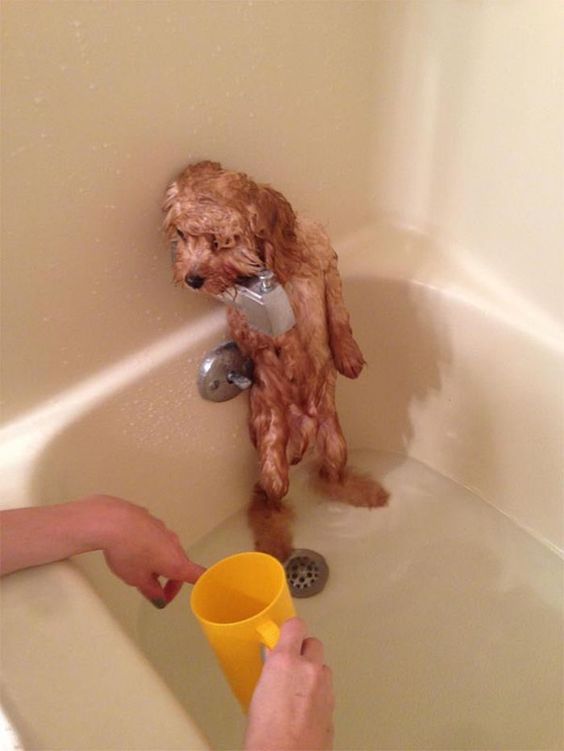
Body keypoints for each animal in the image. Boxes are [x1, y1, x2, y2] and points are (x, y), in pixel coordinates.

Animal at [163, 164, 388, 564]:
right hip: (272, 456)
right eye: (182, 235)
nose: (191, 278)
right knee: (267, 498)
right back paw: (274, 545)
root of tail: (303, 430)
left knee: (329, 476)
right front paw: (287, 354)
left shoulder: (327, 266)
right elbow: (269, 341)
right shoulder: (245, 320)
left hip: (335, 441)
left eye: (220, 241)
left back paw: (361, 492)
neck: (275, 269)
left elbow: (338, 313)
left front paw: (348, 355)